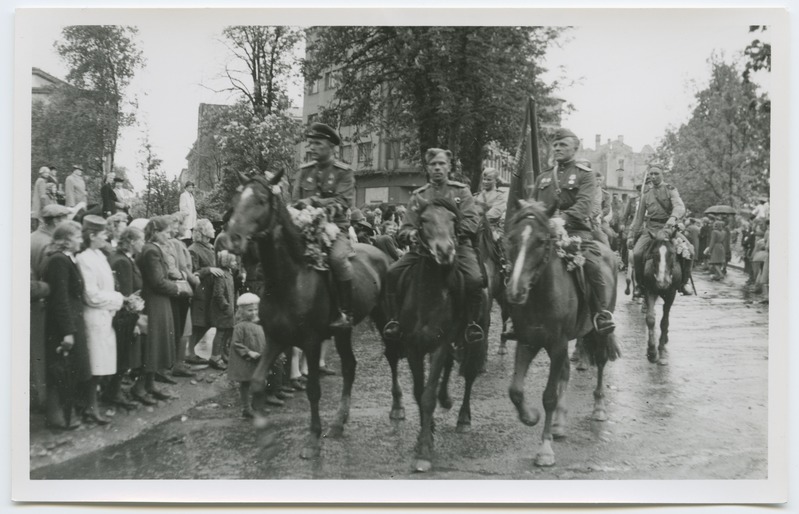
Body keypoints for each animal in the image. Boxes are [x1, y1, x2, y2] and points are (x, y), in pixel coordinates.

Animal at [225, 171, 390, 456]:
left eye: (260, 200)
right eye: (235, 201)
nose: (232, 239)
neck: (289, 280)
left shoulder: (311, 343)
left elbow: (313, 389)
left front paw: (313, 438)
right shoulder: (275, 339)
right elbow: (257, 381)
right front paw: (265, 436)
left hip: (384, 318)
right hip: (343, 332)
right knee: (350, 366)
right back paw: (338, 422)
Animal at [396, 198, 488, 470]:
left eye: (453, 220)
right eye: (424, 220)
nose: (446, 252)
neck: (429, 294)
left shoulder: (439, 344)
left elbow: (427, 396)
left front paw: (424, 451)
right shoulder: (414, 346)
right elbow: (419, 392)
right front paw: (426, 432)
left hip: (474, 340)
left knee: (469, 375)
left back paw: (463, 419)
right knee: (448, 368)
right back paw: (445, 398)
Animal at [510, 200, 620, 464]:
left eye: (541, 241)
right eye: (511, 238)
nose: (515, 290)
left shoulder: (558, 344)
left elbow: (549, 395)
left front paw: (545, 449)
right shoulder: (527, 342)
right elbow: (516, 390)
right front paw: (530, 416)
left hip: (599, 331)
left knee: (600, 362)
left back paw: (599, 408)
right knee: (565, 373)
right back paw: (559, 424)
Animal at [640, 228, 680, 364]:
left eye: (672, 253)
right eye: (655, 254)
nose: (662, 282)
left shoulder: (671, 294)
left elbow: (664, 321)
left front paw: (661, 350)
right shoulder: (649, 291)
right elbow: (651, 319)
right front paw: (652, 351)